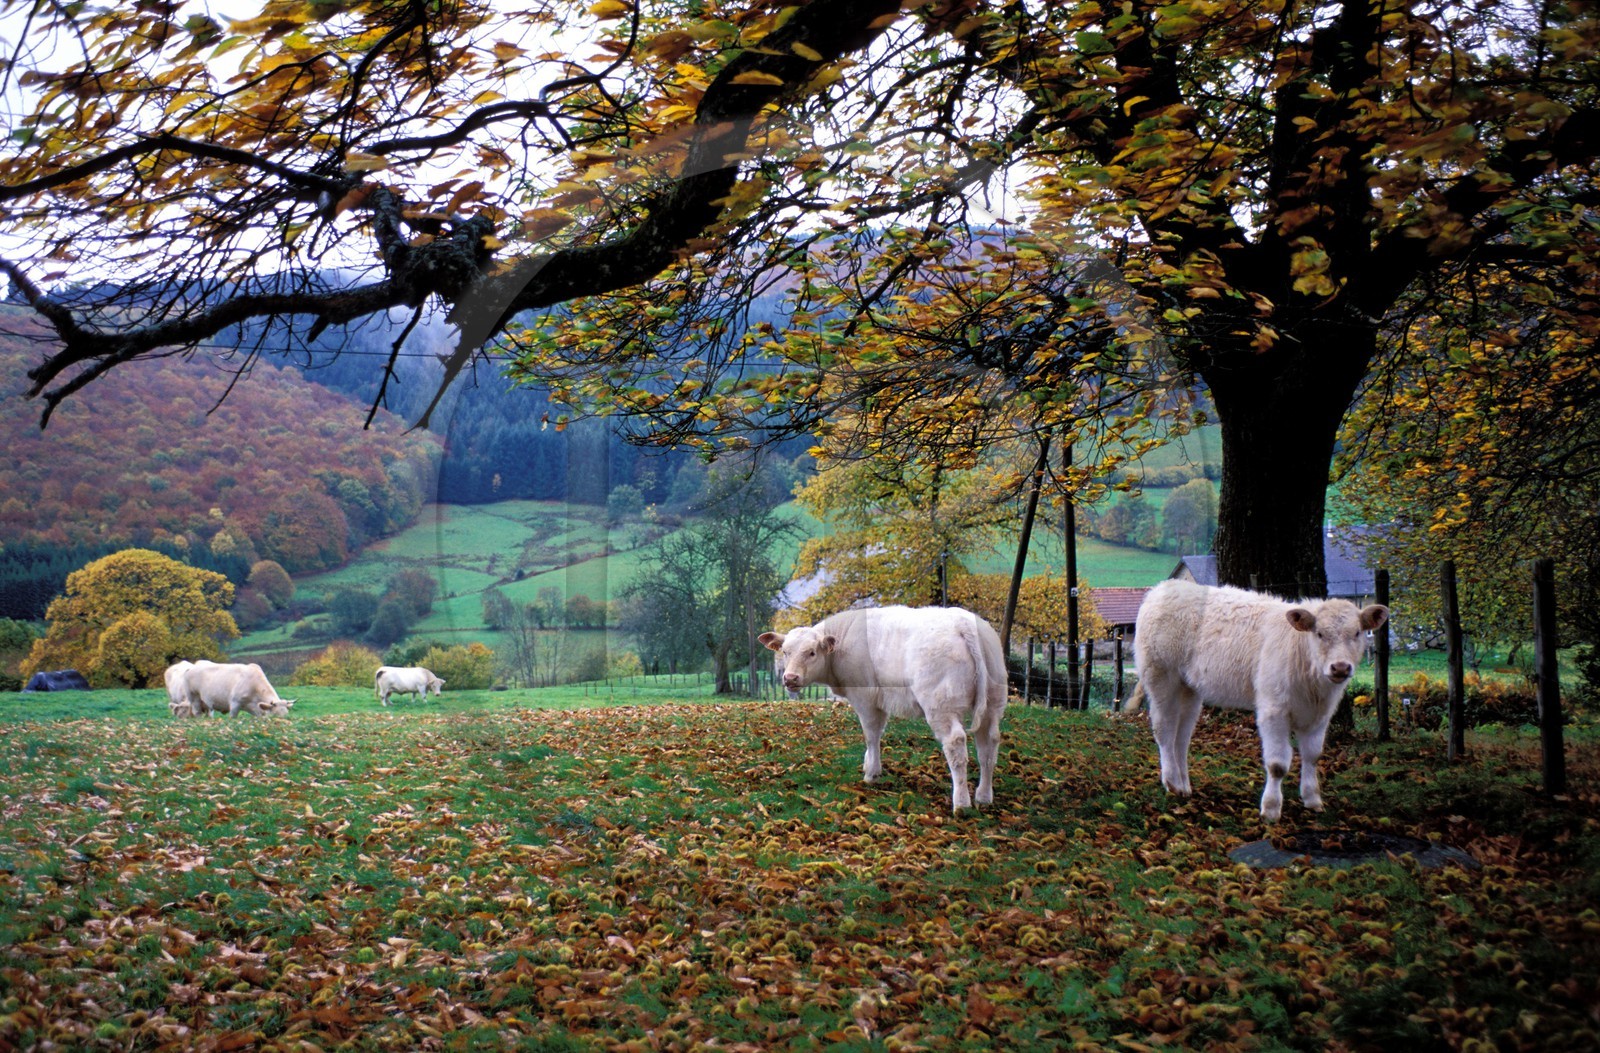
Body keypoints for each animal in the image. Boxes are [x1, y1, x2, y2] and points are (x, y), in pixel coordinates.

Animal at [759, 605, 1007, 814]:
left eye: (811, 652)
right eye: (785, 652)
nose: (790, 678)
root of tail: (964, 622)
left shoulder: (865, 698)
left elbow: (871, 734)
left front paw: (872, 773)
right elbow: (877, 733)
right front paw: (868, 763)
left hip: (941, 705)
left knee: (956, 743)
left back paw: (961, 803)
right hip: (993, 702)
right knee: (989, 745)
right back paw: (984, 796)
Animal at [1127, 579, 1388, 822]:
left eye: (1357, 633)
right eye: (1320, 634)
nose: (1340, 667)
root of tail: (1165, 587)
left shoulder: (1320, 715)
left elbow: (1313, 755)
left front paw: (1312, 799)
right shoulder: (1273, 710)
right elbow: (1277, 764)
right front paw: (1271, 809)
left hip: (1189, 688)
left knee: (1182, 735)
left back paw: (1183, 786)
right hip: (1161, 677)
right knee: (1164, 729)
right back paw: (1171, 781)